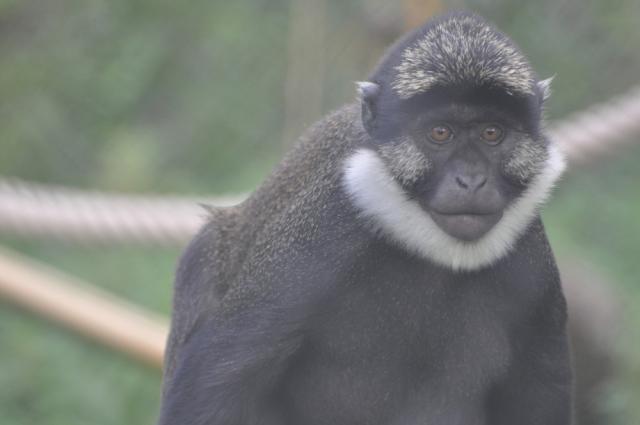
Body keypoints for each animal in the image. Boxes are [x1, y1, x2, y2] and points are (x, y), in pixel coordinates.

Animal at [158, 10, 572, 424]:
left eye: (491, 133)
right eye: (440, 133)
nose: (471, 180)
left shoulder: (533, 267)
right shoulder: (322, 228)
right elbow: (216, 380)